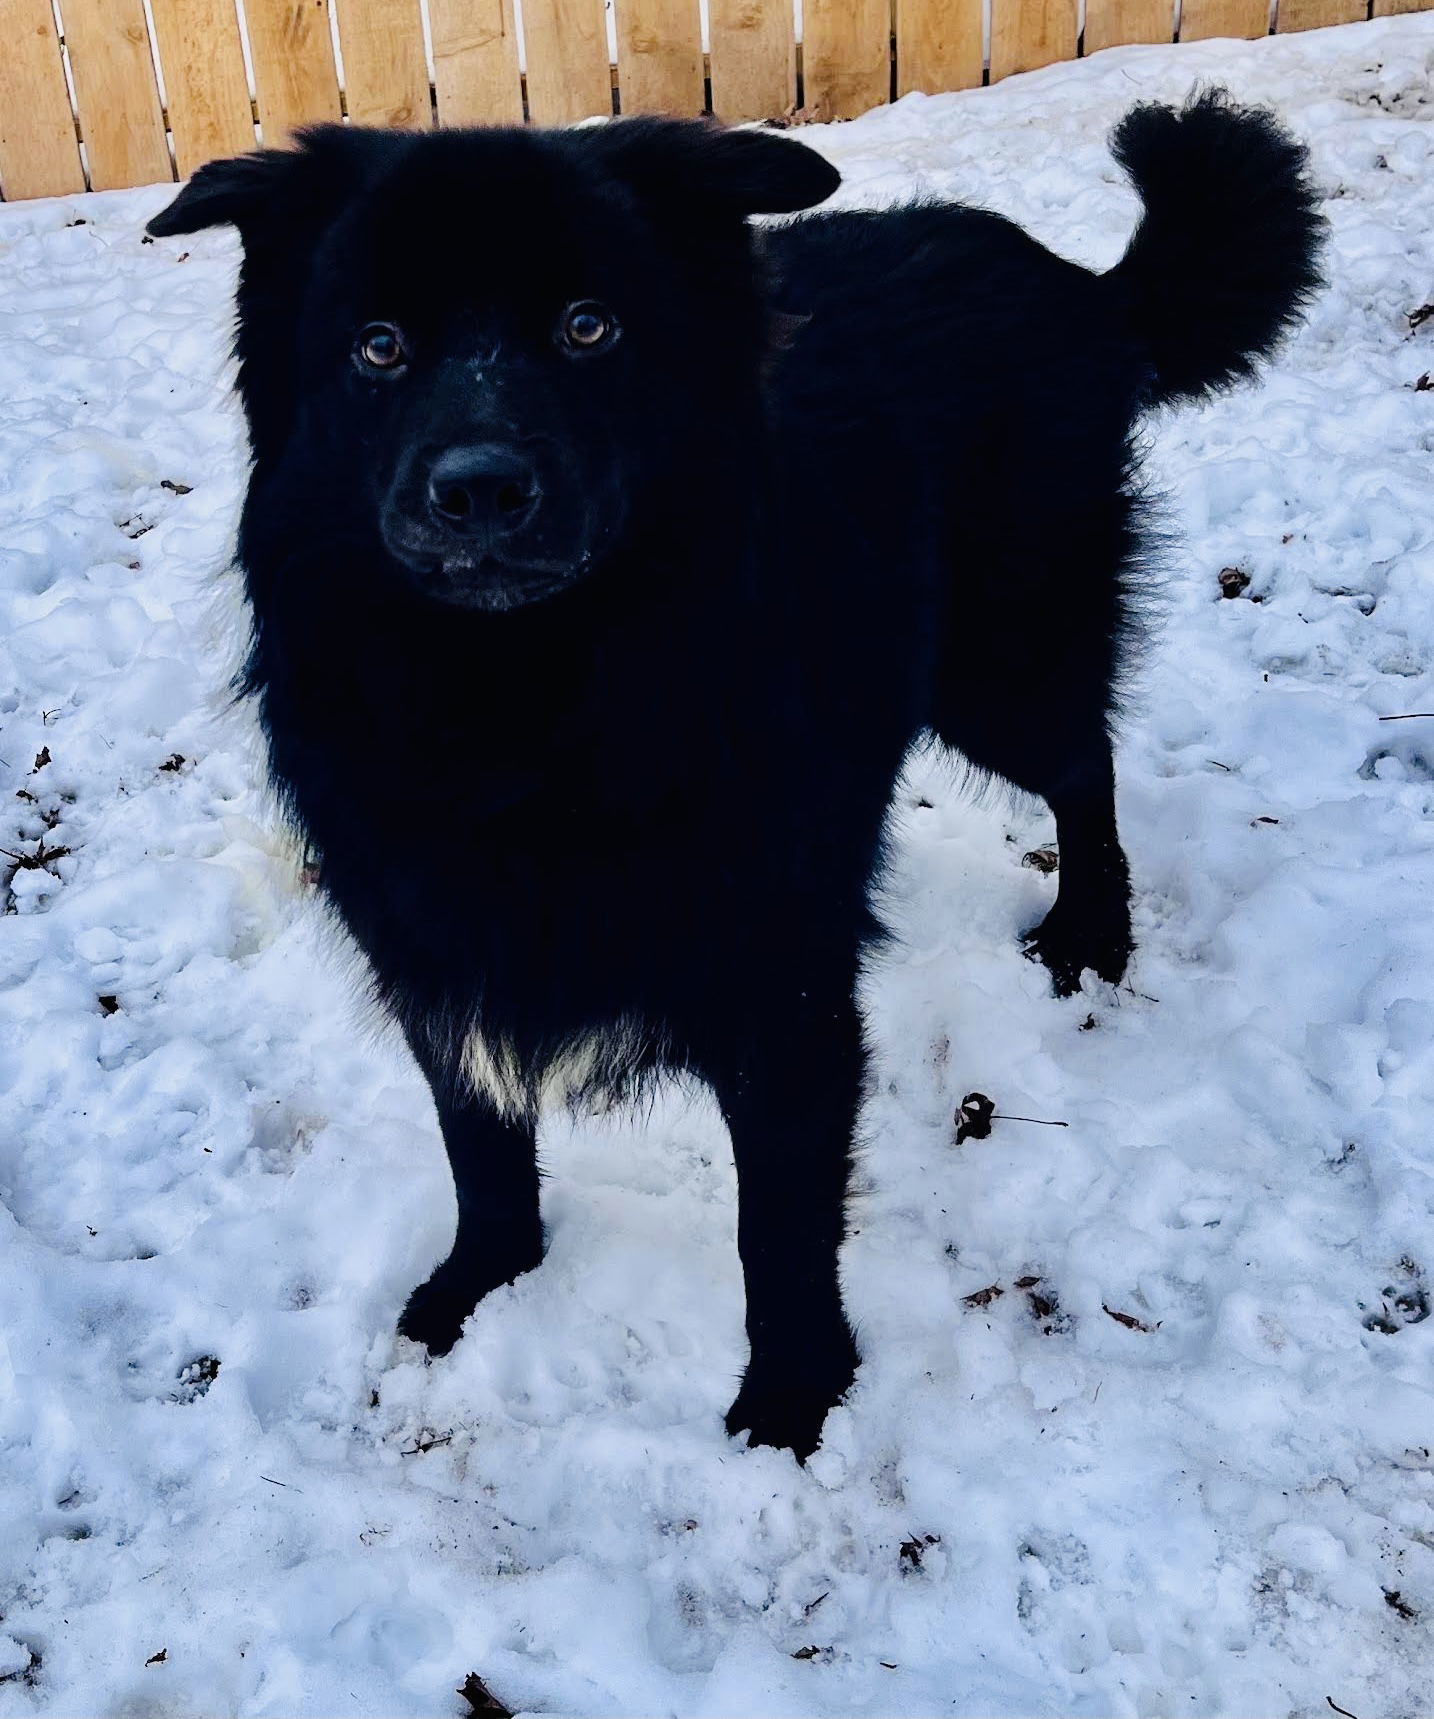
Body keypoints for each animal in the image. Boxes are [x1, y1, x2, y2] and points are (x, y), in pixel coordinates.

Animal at [147, 94, 1320, 1457]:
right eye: (377, 347)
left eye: (589, 326)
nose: (478, 493)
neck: (526, 704)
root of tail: (1077, 282)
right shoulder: (436, 941)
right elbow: (478, 1142)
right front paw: (483, 1284)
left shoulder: (784, 987)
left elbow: (781, 1225)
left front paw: (794, 1398)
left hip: (1001, 669)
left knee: (1088, 768)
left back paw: (1093, 929)